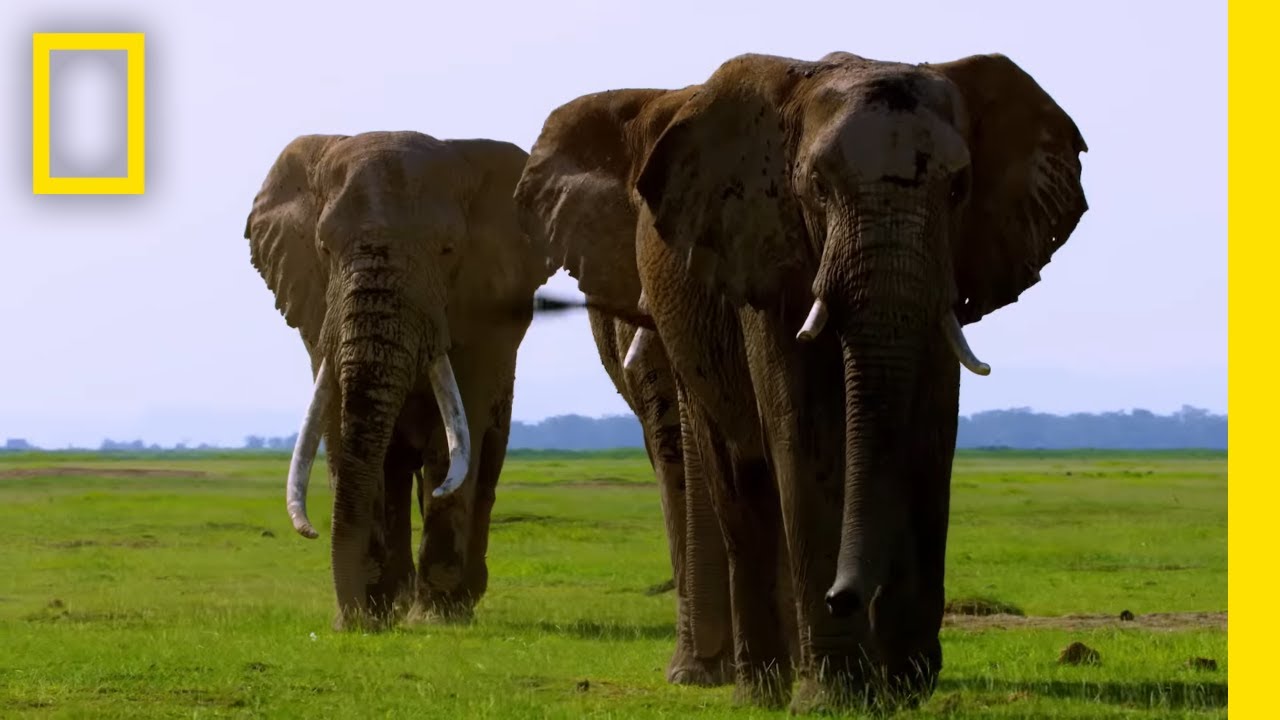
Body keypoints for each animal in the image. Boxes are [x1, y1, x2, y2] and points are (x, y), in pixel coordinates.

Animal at [243, 130, 552, 630]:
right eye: (324, 248)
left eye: (447, 250)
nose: (350, 624)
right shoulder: (317, 306)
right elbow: (336, 424)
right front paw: (370, 615)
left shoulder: (483, 313)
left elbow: (454, 434)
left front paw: (433, 620)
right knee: (393, 466)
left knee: (483, 458)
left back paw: (456, 601)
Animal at [519, 49, 1088, 713]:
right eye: (818, 187)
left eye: (958, 189)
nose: (845, 595)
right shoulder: (759, 251)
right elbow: (803, 431)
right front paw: (835, 699)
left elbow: (930, 435)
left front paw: (904, 688)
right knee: (740, 481)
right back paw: (757, 691)